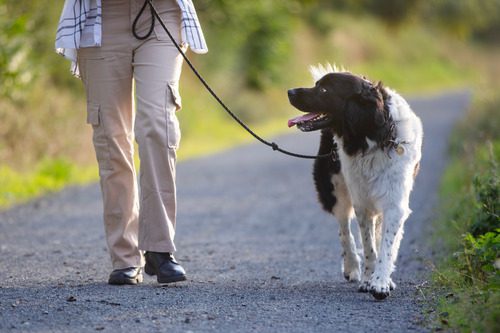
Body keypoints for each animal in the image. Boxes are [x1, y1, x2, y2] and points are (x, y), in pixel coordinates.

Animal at [288, 64, 424, 298]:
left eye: (324, 90)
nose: (290, 91)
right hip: (334, 188)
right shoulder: (362, 202)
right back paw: (351, 266)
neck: (373, 136)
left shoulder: (395, 203)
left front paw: (381, 282)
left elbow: (387, 244)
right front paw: (369, 279)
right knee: (344, 229)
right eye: (317, 85)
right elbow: (369, 246)